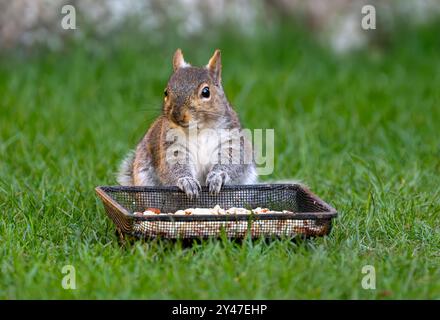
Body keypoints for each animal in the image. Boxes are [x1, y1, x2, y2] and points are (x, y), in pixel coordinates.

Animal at [117, 49, 256, 198]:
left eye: (206, 92)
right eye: (166, 92)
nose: (176, 115)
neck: (200, 129)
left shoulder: (230, 139)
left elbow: (232, 159)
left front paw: (217, 176)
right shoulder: (172, 145)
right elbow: (174, 165)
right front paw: (187, 181)